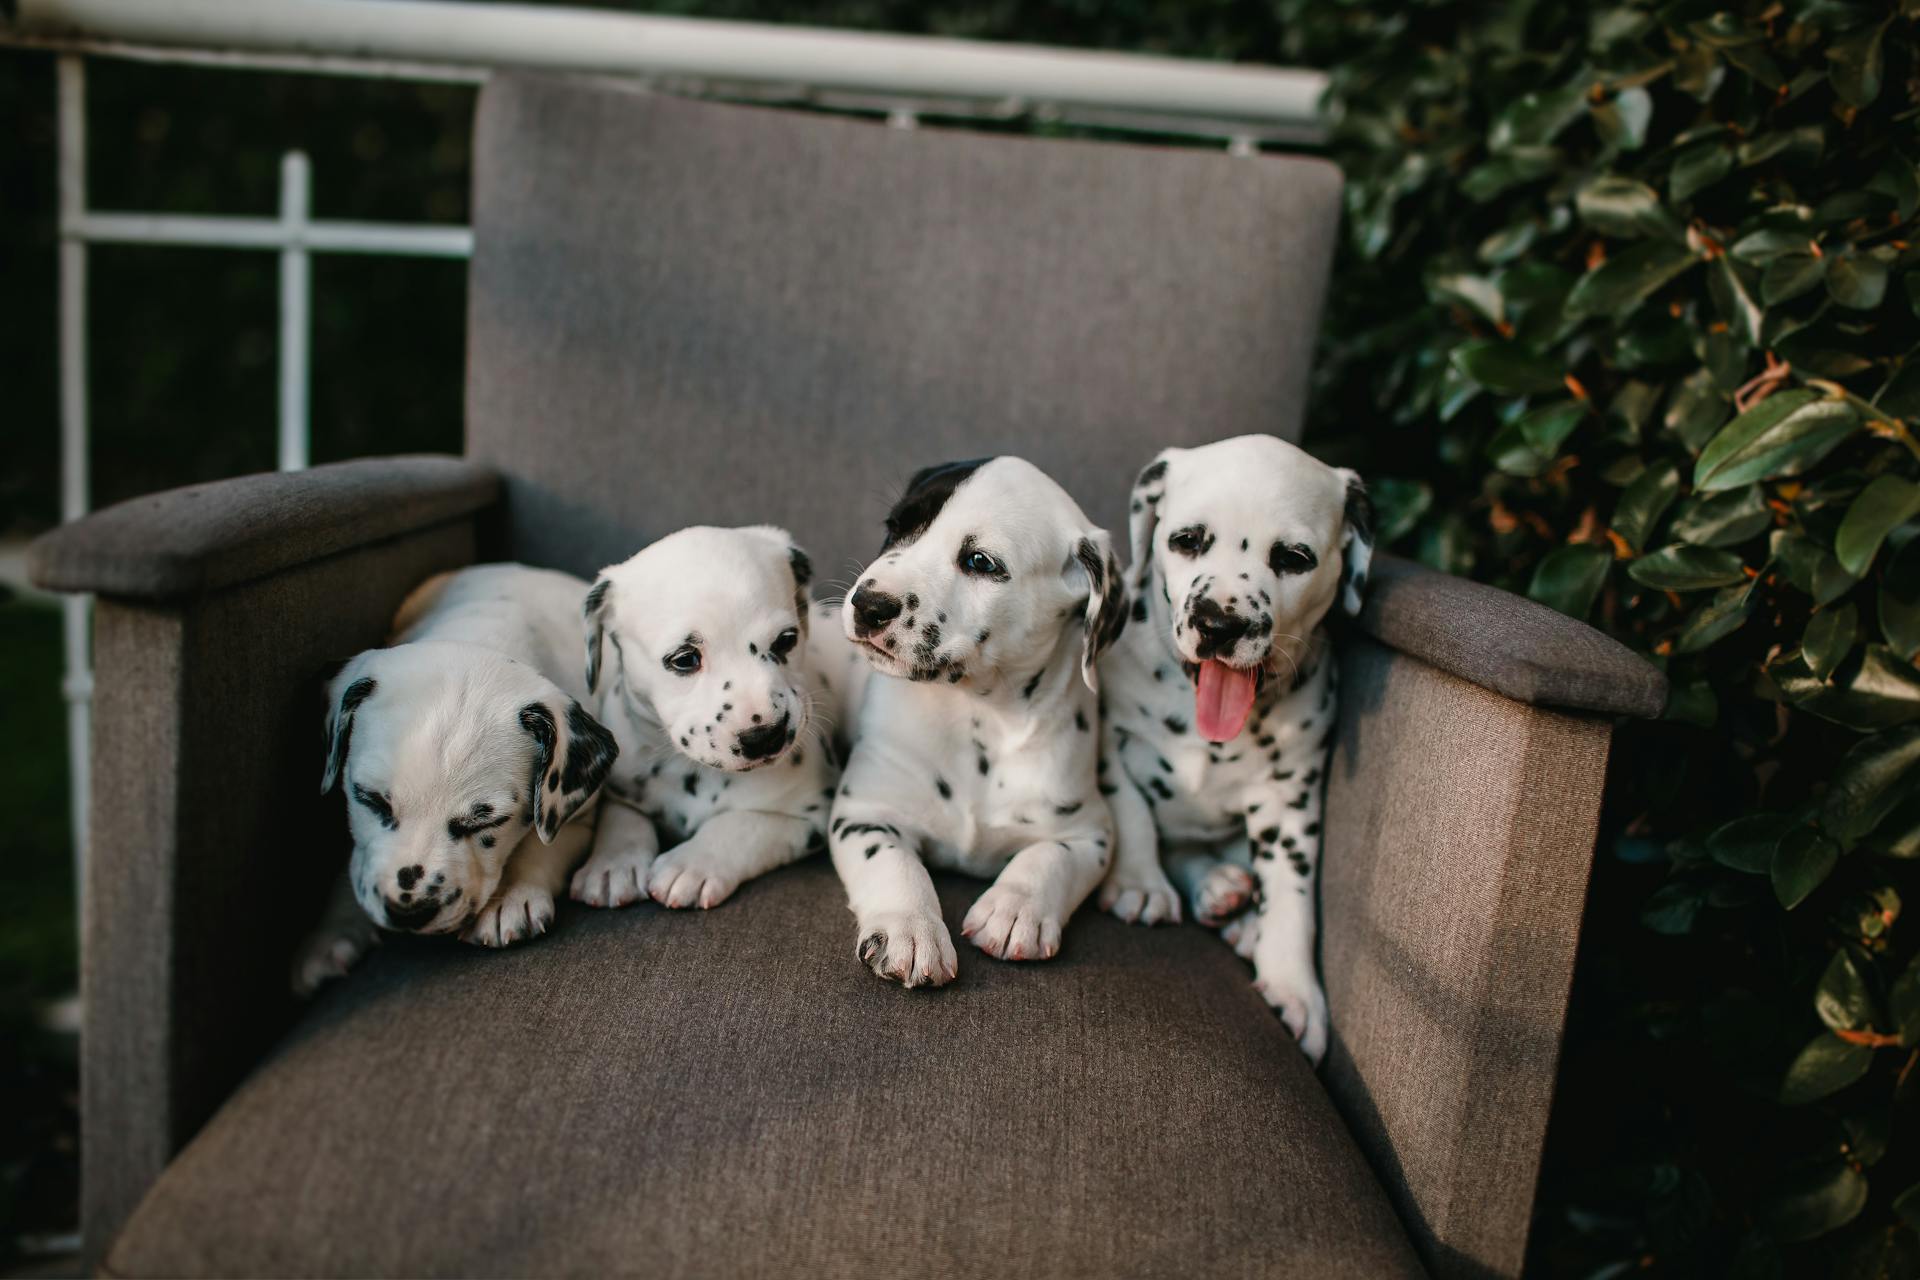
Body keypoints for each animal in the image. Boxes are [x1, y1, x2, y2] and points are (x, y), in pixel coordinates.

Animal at [289, 564, 614, 997]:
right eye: (370, 799)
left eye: (486, 821)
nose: (408, 908)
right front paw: (329, 933)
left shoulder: (578, 814)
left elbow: (541, 844)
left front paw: (511, 896)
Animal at [564, 521, 844, 909]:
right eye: (684, 659)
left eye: (787, 639)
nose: (766, 736)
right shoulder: (621, 787)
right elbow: (621, 816)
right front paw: (612, 863)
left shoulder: (808, 812)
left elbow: (743, 824)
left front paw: (692, 864)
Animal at [825, 460, 1121, 990]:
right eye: (895, 526)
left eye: (980, 562)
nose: (868, 604)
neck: (979, 718)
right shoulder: (866, 812)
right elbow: (894, 863)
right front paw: (911, 929)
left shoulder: (1091, 833)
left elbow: (1049, 858)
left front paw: (1015, 908)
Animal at [1090, 435, 1374, 1066]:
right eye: (1187, 540)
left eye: (1293, 557)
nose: (1219, 624)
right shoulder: (1109, 741)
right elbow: (1131, 812)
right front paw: (1139, 884)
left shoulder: (1289, 804)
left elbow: (1292, 896)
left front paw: (1294, 990)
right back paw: (1217, 889)